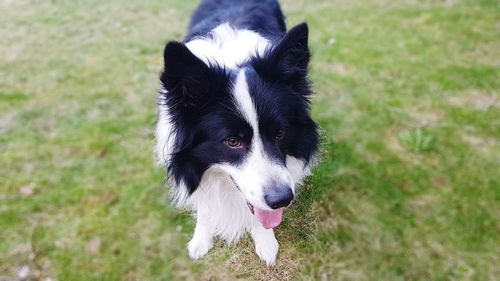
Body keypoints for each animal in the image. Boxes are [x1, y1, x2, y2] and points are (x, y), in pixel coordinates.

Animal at [155, 0, 320, 264]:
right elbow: (206, 202)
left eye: (280, 132)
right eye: (232, 141)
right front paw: (201, 238)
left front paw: (265, 241)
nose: (282, 200)